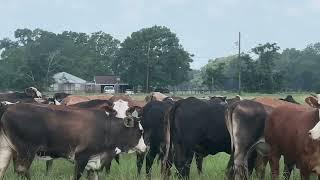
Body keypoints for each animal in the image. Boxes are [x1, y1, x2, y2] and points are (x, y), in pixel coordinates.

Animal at [0, 102, 147, 180]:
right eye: (140, 131)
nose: (146, 148)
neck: (107, 129)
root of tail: (8, 108)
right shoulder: (81, 158)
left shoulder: (94, 163)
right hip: (25, 153)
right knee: (22, 172)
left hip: (6, 150)